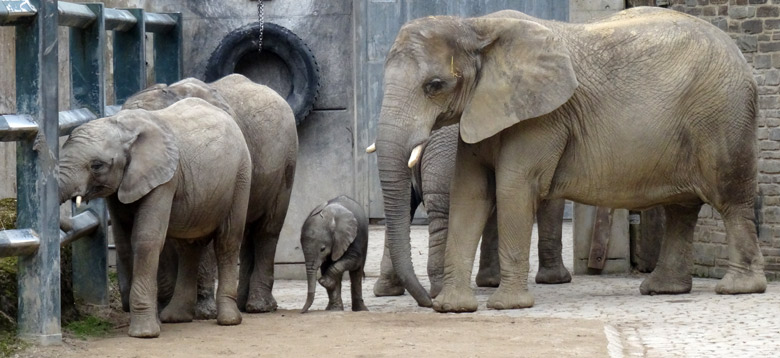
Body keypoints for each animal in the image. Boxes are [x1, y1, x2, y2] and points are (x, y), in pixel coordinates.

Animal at [59, 98, 248, 338]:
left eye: (97, 166)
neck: (121, 127)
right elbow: (124, 243)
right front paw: (151, 323)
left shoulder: (164, 180)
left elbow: (146, 240)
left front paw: (144, 333)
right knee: (189, 246)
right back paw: (176, 317)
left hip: (241, 175)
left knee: (227, 241)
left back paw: (228, 320)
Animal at [123, 73, 298, 314]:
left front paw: (202, 311)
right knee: (246, 231)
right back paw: (243, 304)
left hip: (287, 163)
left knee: (267, 229)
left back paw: (258, 307)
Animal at [372, 124, 568, 302]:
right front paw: (557, 280)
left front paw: (490, 282)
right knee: (442, 212)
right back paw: (439, 291)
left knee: (405, 209)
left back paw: (387, 291)